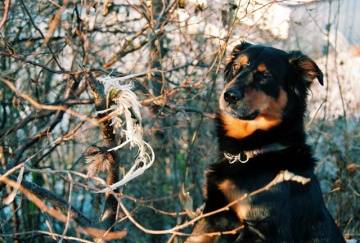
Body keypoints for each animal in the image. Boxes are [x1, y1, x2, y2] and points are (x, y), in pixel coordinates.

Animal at [187, 42, 344, 242]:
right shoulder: (212, 212)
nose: (229, 96)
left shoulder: (264, 229)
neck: (253, 150)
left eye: (266, 76)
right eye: (236, 67)